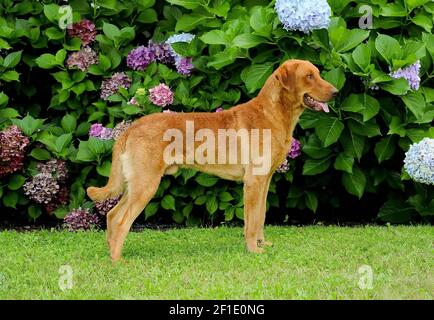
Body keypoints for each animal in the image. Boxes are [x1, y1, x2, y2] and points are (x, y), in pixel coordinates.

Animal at [87, 58, 340, 262]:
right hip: (145, 185)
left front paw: (261, 244)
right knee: (122, 221)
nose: (336, 92)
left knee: (112, 215)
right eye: (309, 76)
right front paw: (253, 250)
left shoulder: (264, 181)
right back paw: (118, 261)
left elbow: (260, 217)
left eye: (318, 73)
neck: (273, 113)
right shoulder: (253, 182)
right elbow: (252, 221)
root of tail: (130, 129)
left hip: (135, 185)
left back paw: (111, 253)